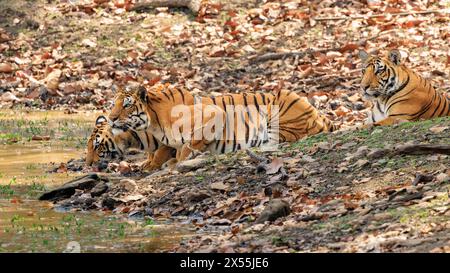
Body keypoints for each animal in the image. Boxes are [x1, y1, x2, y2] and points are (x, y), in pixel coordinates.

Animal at [85, 84, 338, 170]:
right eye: (114, 103)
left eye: (126, 105)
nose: (112, 117)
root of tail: (320, 114)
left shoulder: (214, 115)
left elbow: (188, 145)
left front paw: (173, 162)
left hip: (284, 106)